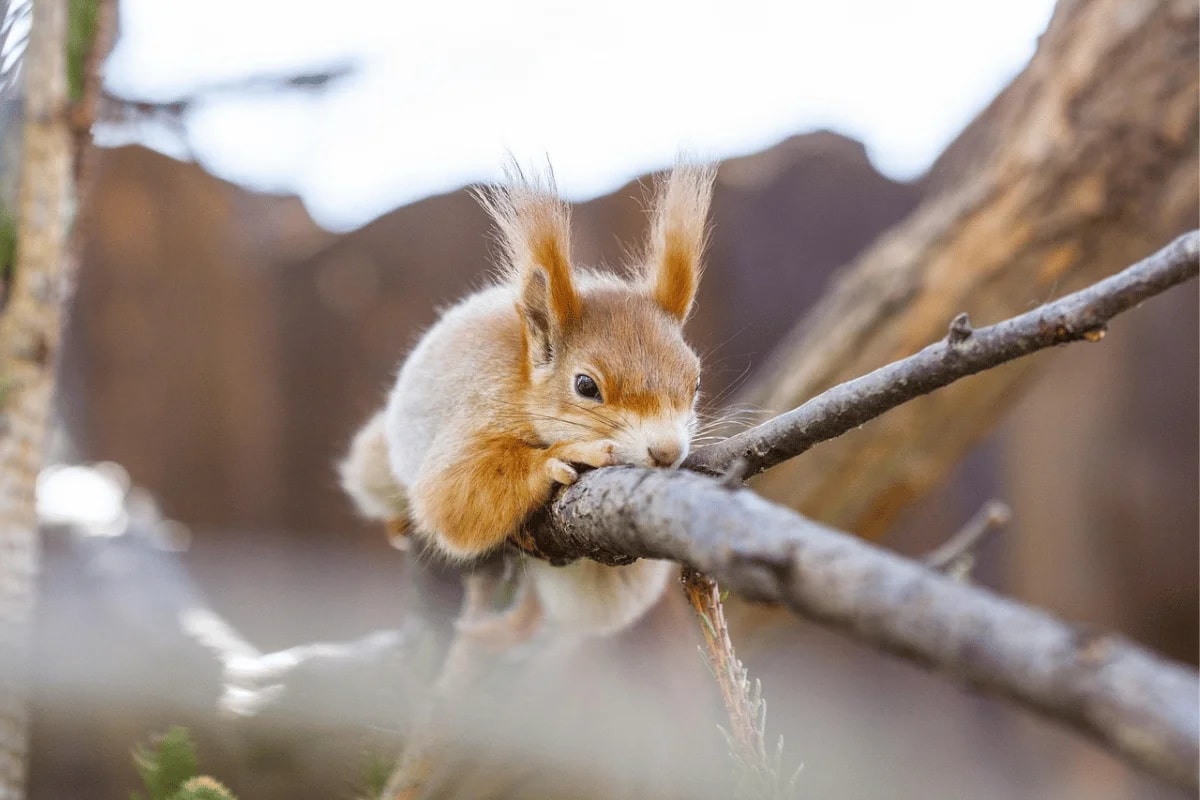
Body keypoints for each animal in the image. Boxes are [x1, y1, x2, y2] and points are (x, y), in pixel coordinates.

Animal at [338, 163, 710, 638]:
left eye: (695, 382)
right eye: (586, 386)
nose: (667, 451)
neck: (523, 384)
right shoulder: (480, 403)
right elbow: (450, 496)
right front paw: (560, 456)